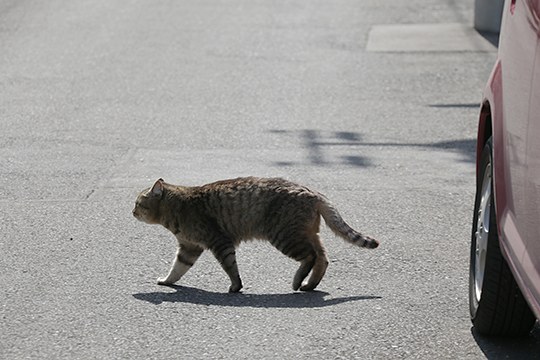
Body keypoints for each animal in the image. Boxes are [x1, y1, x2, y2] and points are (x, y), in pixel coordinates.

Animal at [132, 176, 378, 292]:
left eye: (138, 203)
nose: (131, 211)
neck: (178, 207)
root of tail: (314, 192)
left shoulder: (219, 242)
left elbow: (231, 268)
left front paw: (235, 287)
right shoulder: (189, 248)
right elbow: (177, 269)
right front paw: (166, 281)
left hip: (285, 237)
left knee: (311, 257)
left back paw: (298, 281)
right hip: (305, 234)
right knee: (323, 258)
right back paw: (309, 285)